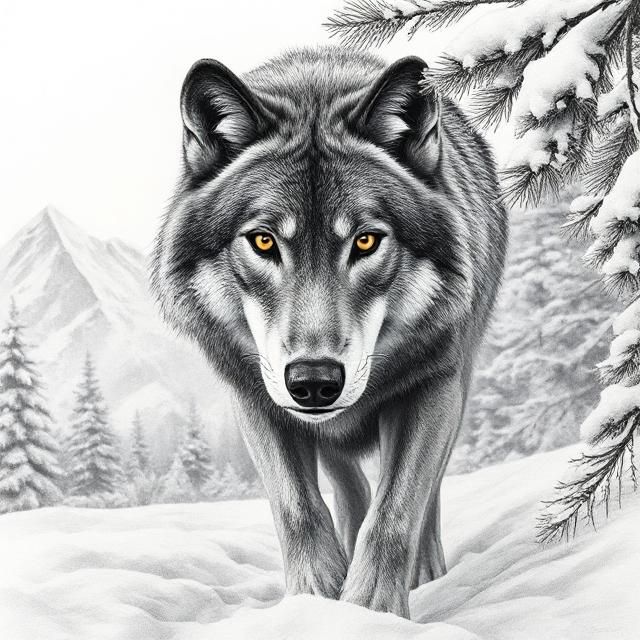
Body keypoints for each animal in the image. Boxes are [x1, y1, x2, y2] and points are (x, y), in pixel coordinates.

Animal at [152, 46, 507, 618]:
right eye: (264, 241)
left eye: (364, 241)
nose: (314, 381)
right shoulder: (255, 396)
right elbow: (298, 508)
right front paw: (315, 601)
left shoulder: (434, 386)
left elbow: (394, 514)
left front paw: (371, 612)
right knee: (344, 473)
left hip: (459, 383)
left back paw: (425, 566)